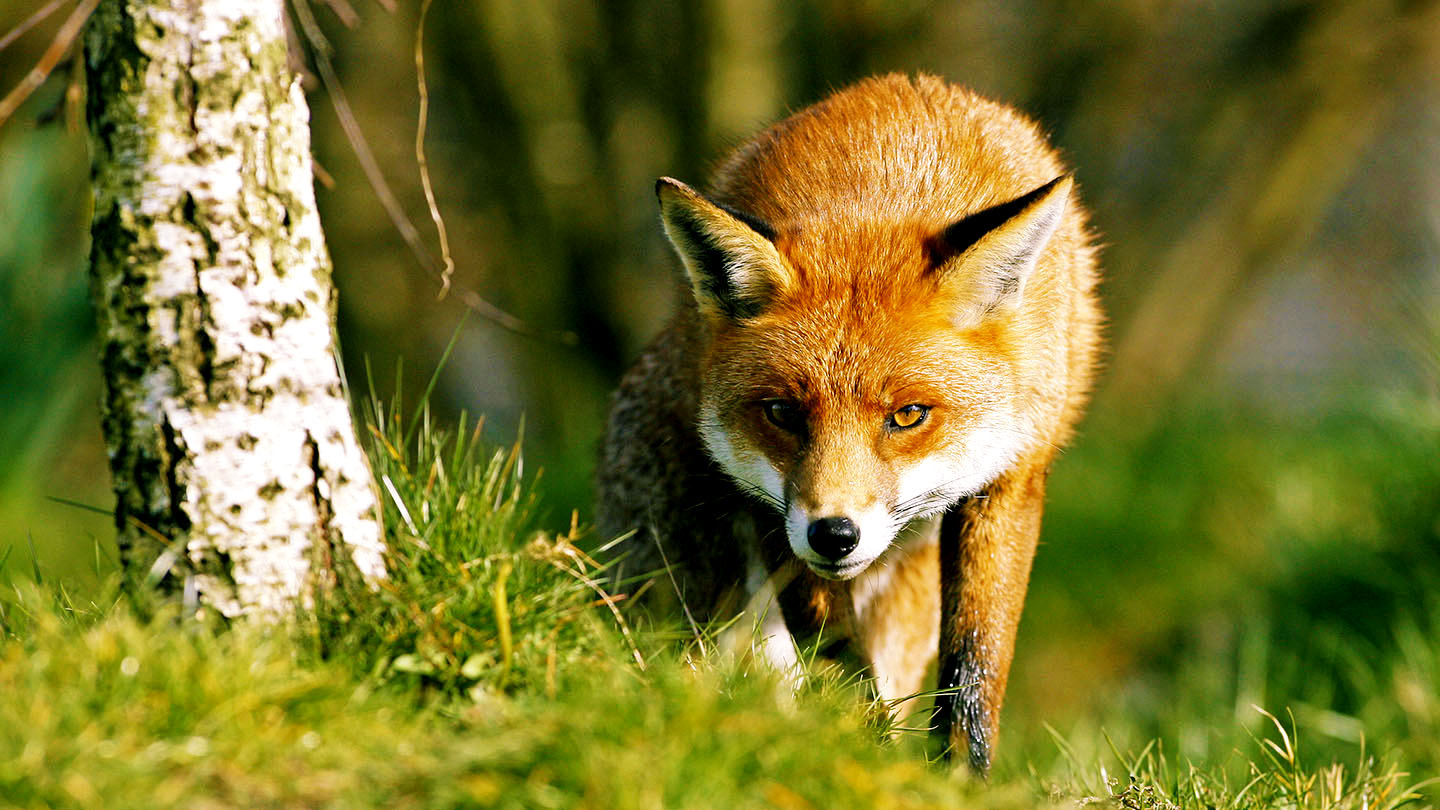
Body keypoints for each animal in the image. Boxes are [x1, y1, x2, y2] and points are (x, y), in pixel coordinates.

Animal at [596, 74, 1100, 766]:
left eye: (908, 415)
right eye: (782, 413)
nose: (835, 535)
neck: (885, 172)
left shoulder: (1012, 476)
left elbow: (976, 662)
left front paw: (959, 774)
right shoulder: (764, 499)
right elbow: (833, 650)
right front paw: (867, 745)